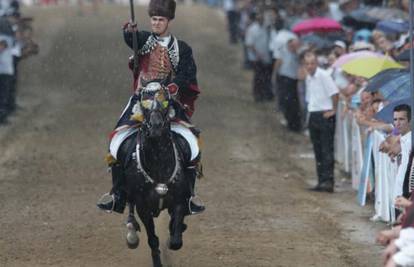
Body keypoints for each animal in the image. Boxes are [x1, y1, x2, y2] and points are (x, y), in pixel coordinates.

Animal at [116, 81, 192, 267]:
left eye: (165, 104)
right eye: (144, 104)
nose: (156, 127)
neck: (159, 162)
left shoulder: (178, 200)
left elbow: (176, 241)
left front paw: (175, 233)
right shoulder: (143, 207)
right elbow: (152, 239)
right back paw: (132, 233)